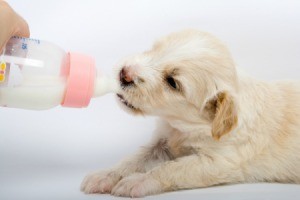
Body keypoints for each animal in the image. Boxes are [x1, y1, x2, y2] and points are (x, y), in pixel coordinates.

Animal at [79, 29, 300, 197]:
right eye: (154, 49)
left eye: (172, 82)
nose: (124, 73)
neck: (182, 126)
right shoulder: (161, 142)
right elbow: (134, 159)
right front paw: (105, 175)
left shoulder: (219, 161)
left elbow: (171, 168)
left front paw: (137, 181)